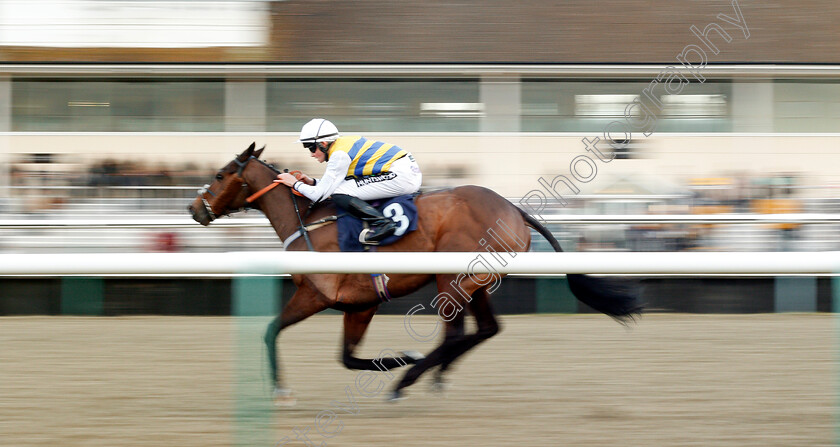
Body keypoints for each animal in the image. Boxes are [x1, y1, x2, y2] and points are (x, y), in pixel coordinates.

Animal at [187, 143, 640, 402]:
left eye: (220, 175)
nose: (194, 209)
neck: (309, 220)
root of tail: (514, 209)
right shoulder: (361, 304)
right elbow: (347, 358)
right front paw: (400, 358)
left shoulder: (318, 294)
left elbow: (271, 331)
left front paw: (281, 388)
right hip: (476, 284)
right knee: (486, 329)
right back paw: (434, 375)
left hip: (451, 280)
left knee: (456, 334)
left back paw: (408, 382)